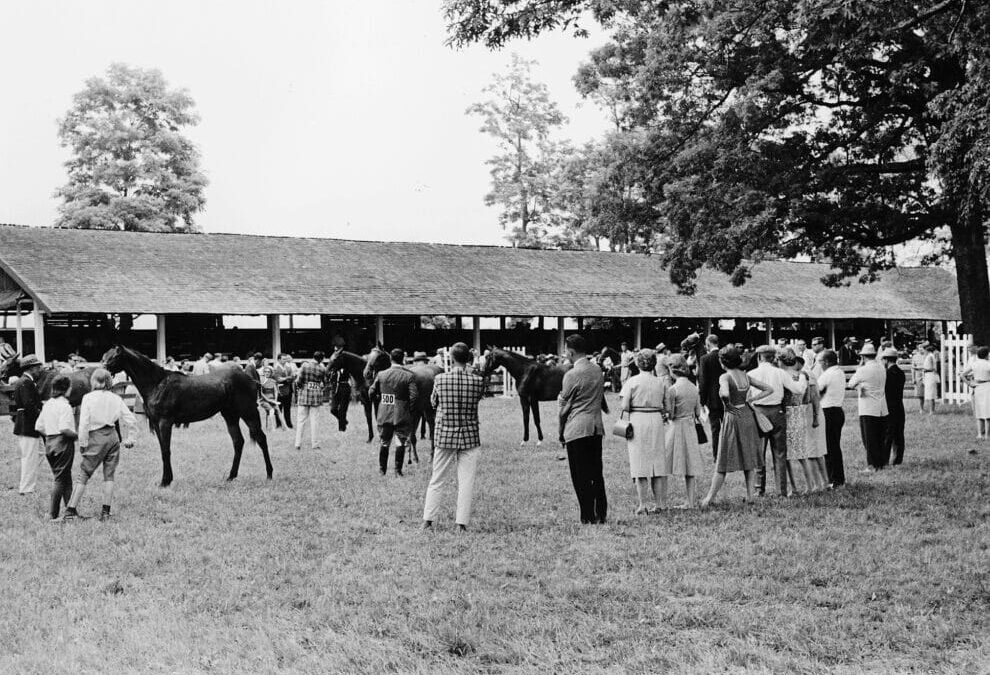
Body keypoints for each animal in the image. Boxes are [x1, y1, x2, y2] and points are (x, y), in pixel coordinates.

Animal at [101, 348, 272, 486]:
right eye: (104, 356)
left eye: (113, 357)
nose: (102, 371)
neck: (157, 383)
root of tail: (251, 379)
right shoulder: (156, 424)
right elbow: (163, 450)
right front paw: (167, 479)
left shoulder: (165, 423)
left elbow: (166, 451)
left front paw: (165, 481)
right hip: (230, 416)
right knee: (238, 442)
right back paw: (231, 477)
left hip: (249, 413)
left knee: (261, 438)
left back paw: (269, 475)